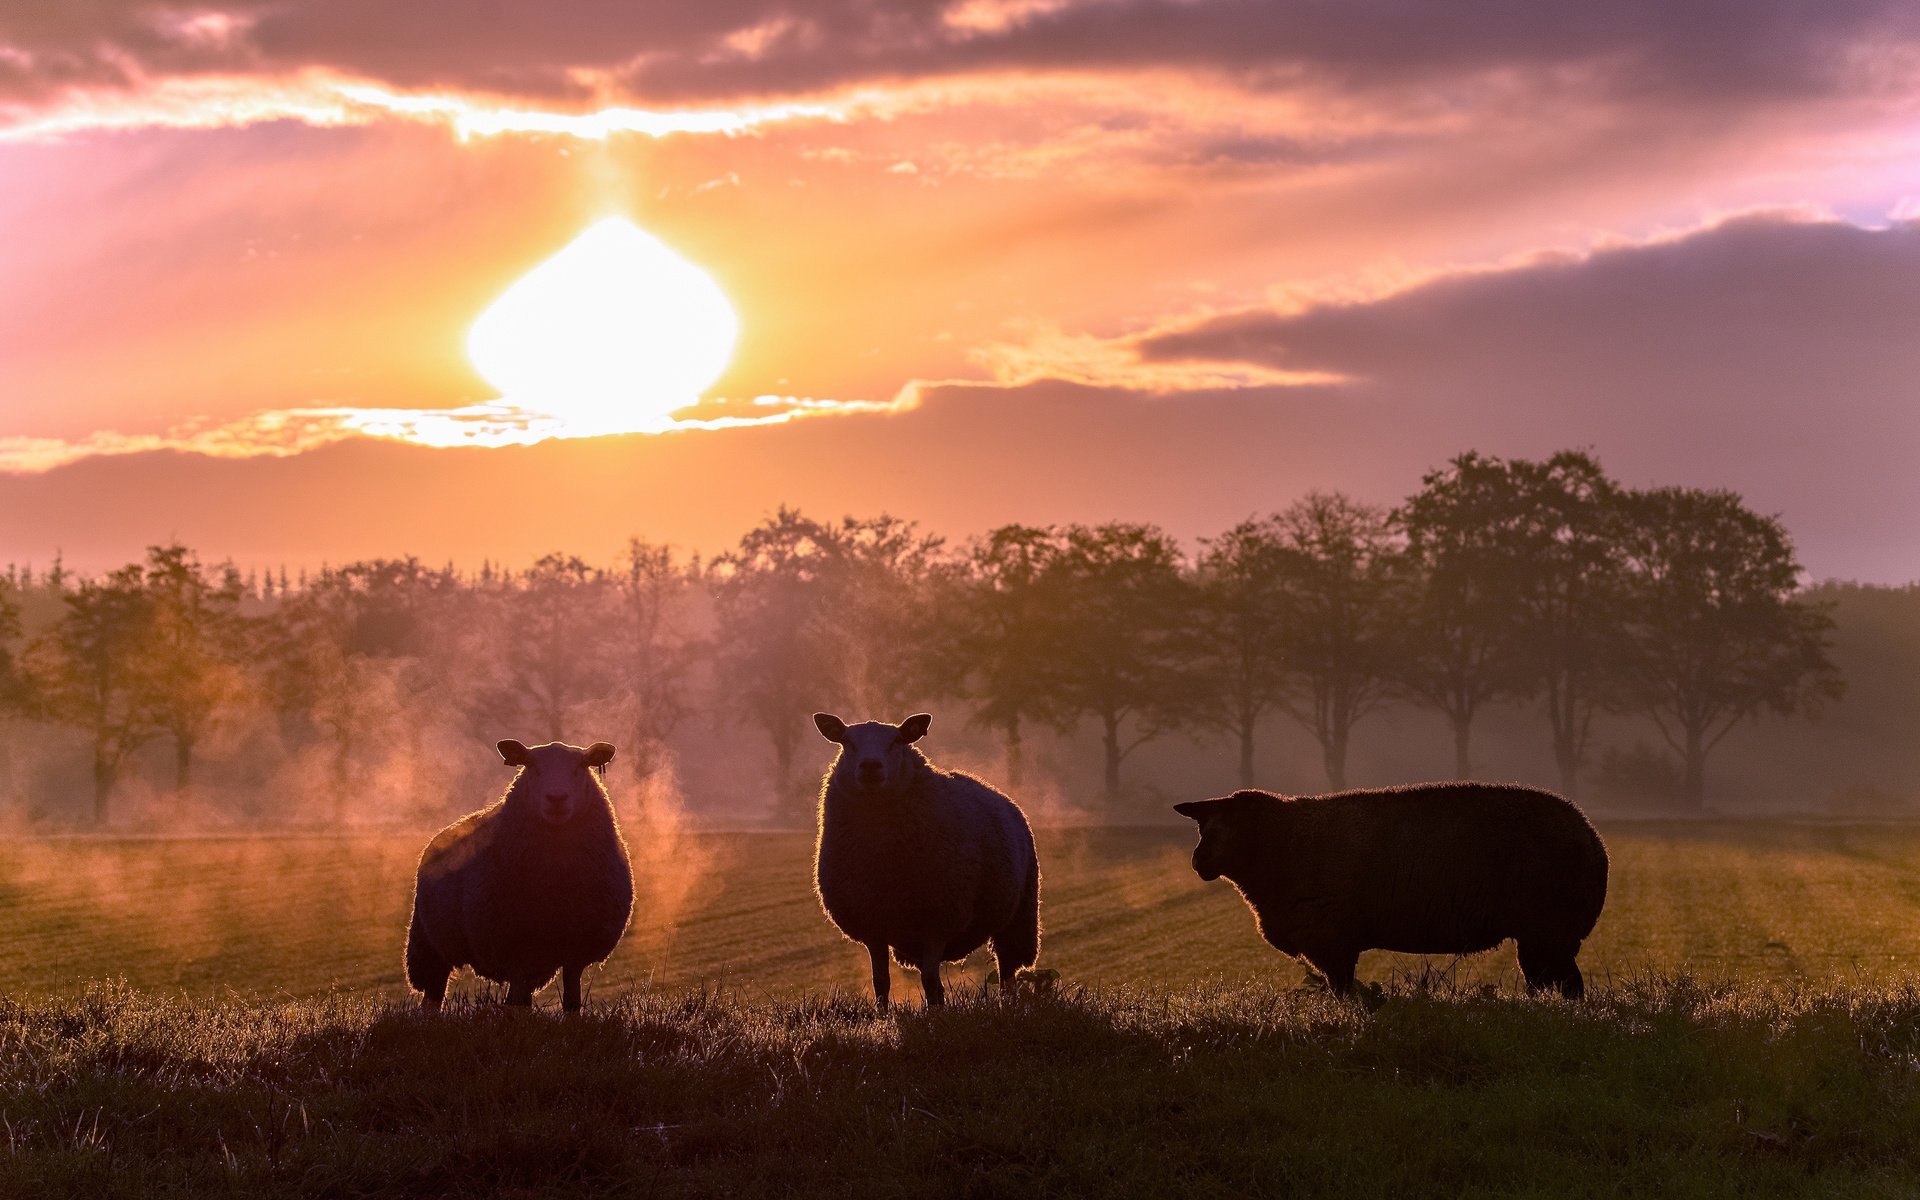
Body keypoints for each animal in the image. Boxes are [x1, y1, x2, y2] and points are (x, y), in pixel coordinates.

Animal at [401, 741, 633, 1013]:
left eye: (580, 767)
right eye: (532, 766)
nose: (556, 799)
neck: (556, 884)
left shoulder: (575, 950)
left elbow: (571, 1002)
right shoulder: (515, 948)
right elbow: (519, 1006)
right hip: (429, 945)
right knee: (432, 995)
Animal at [1167, 783, 1605, 998]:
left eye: (1229, 827)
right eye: (1203, 827)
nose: (1197, 862)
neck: (1280, 845)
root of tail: (1590, 835)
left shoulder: (1332, 939)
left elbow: (1343, 991)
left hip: (1548, 932)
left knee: (1567, 986)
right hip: (1544, 937)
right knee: (1552, 984)